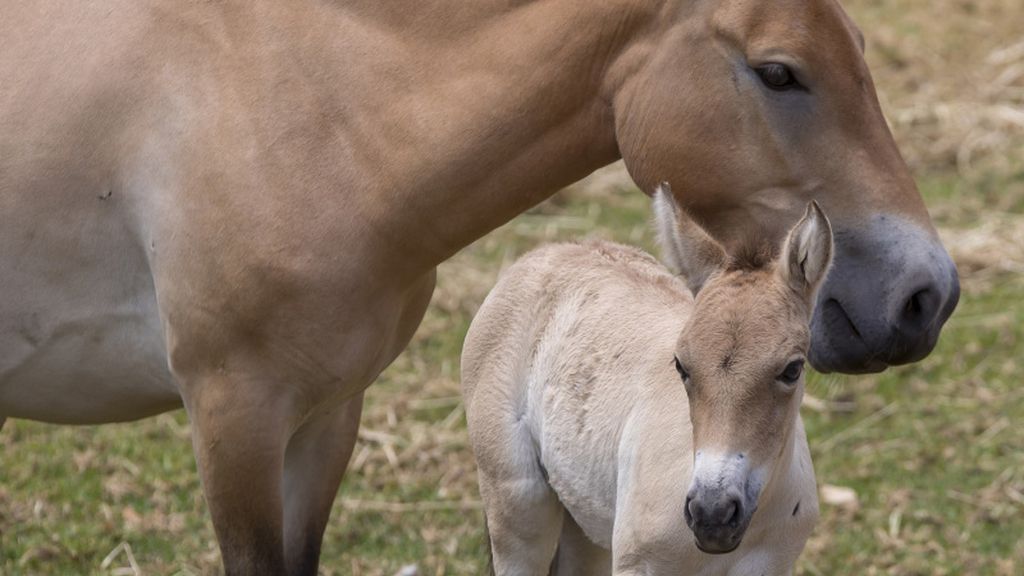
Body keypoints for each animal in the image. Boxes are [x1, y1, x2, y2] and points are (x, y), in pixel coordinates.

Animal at [462, 186, 829, 575]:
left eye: (792, 369)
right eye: (681, 365)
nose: (712, 514)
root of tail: (549, 251)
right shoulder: (641, 564)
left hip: (584, 514)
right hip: (517, 501)